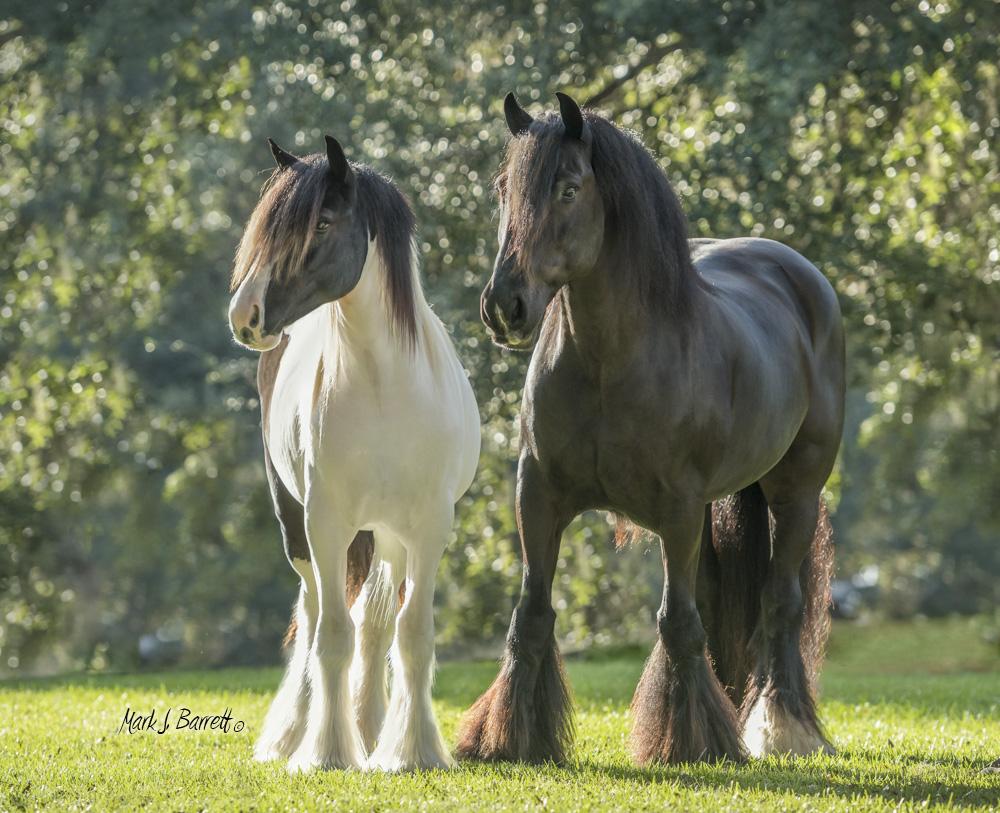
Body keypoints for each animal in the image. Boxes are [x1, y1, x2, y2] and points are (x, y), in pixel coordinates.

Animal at [229, 136, 478, 772]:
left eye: (322, 221)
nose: (245, 316)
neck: (382, 388)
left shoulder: (427, 528)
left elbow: (411, 635)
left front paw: (412, 751)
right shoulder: (326, 523)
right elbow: (331, 637)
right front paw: (327, 752)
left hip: (385, 534)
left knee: (374, 623)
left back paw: (370, 729)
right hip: (301, 526)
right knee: (317, 611)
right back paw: (297, 733)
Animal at [458, 92, 844, 764]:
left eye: (569, 188)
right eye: (505, 188)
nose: (504, 307)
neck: (609, 366)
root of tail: (800, 275)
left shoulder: (679, 510)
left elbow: (676, 621)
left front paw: (689, 740)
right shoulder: (538, 497)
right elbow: (531, 615)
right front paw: (509, 738)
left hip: (794, 492)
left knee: (779, 600)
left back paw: (780, 727)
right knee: (721, 600)